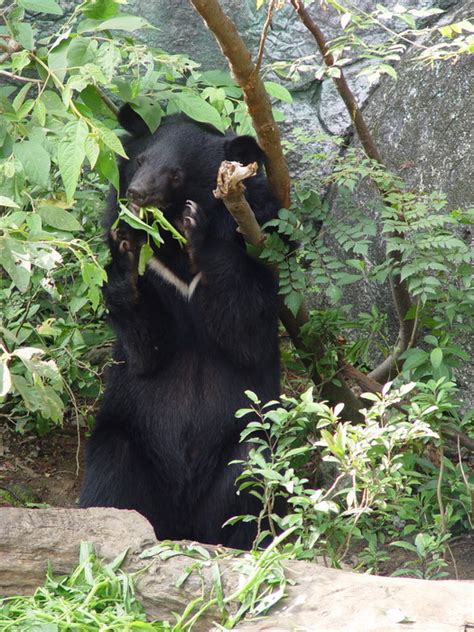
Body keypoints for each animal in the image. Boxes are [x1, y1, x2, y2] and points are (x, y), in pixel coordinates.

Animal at [80, 105, 282, 548]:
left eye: (174, 175)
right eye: (139, 161)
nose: (136, 194)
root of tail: (181, 522)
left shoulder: (261, 243)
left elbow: (246, 329)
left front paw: (196, 227)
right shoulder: (154, 278)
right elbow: (145, 347)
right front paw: (126, 243)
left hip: (241, 451)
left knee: (247, 475)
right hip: (127, 441)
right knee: (110, 471)